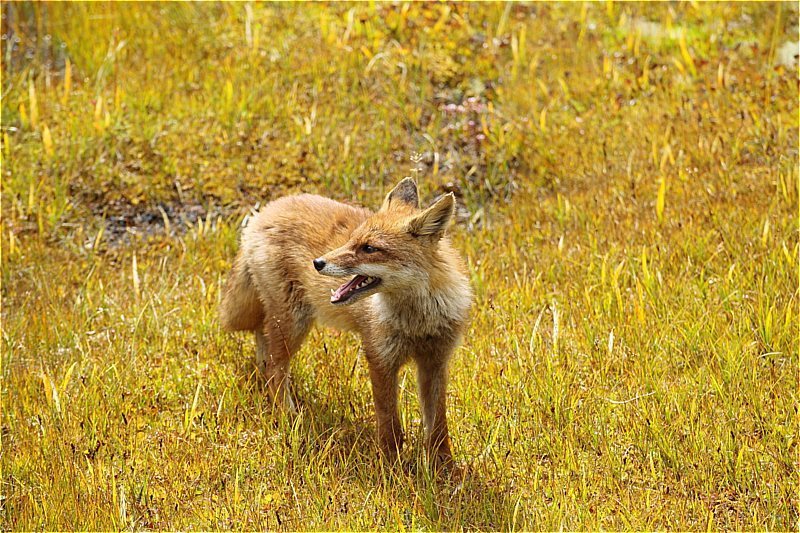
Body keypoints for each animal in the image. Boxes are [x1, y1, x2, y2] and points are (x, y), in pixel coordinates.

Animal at [219, 178, 472, 466]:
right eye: (352, 241)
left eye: (369, 248)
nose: (317, 262)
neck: (418, 322)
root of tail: (265, 211)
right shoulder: (380, 357)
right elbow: (389, 422)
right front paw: (391, 465)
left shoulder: (436, 361)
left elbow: (438, 423)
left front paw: (444, 466)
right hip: (293, 323)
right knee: (274, 367)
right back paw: (288, 416)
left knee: (265, 351)